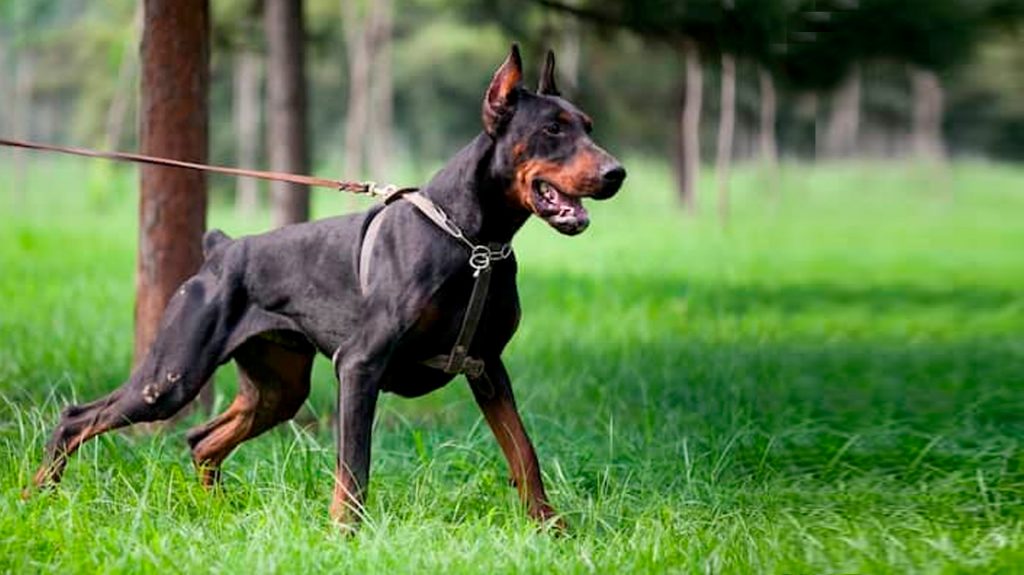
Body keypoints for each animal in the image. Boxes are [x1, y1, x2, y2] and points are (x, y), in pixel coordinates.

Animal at [28, 45, 622, 527]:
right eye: (552, 130)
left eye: (588, 125)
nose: (616, 174)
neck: (475, 242)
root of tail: (221, 249)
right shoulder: (359, 365)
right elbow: (353, 466)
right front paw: (345, 536)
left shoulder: (487, 366)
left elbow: (524, 453)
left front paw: (553, 530)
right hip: (170, 375)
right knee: (78, 418)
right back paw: (36, 497)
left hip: (278, 388)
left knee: (201, 442)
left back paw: (215, 511)